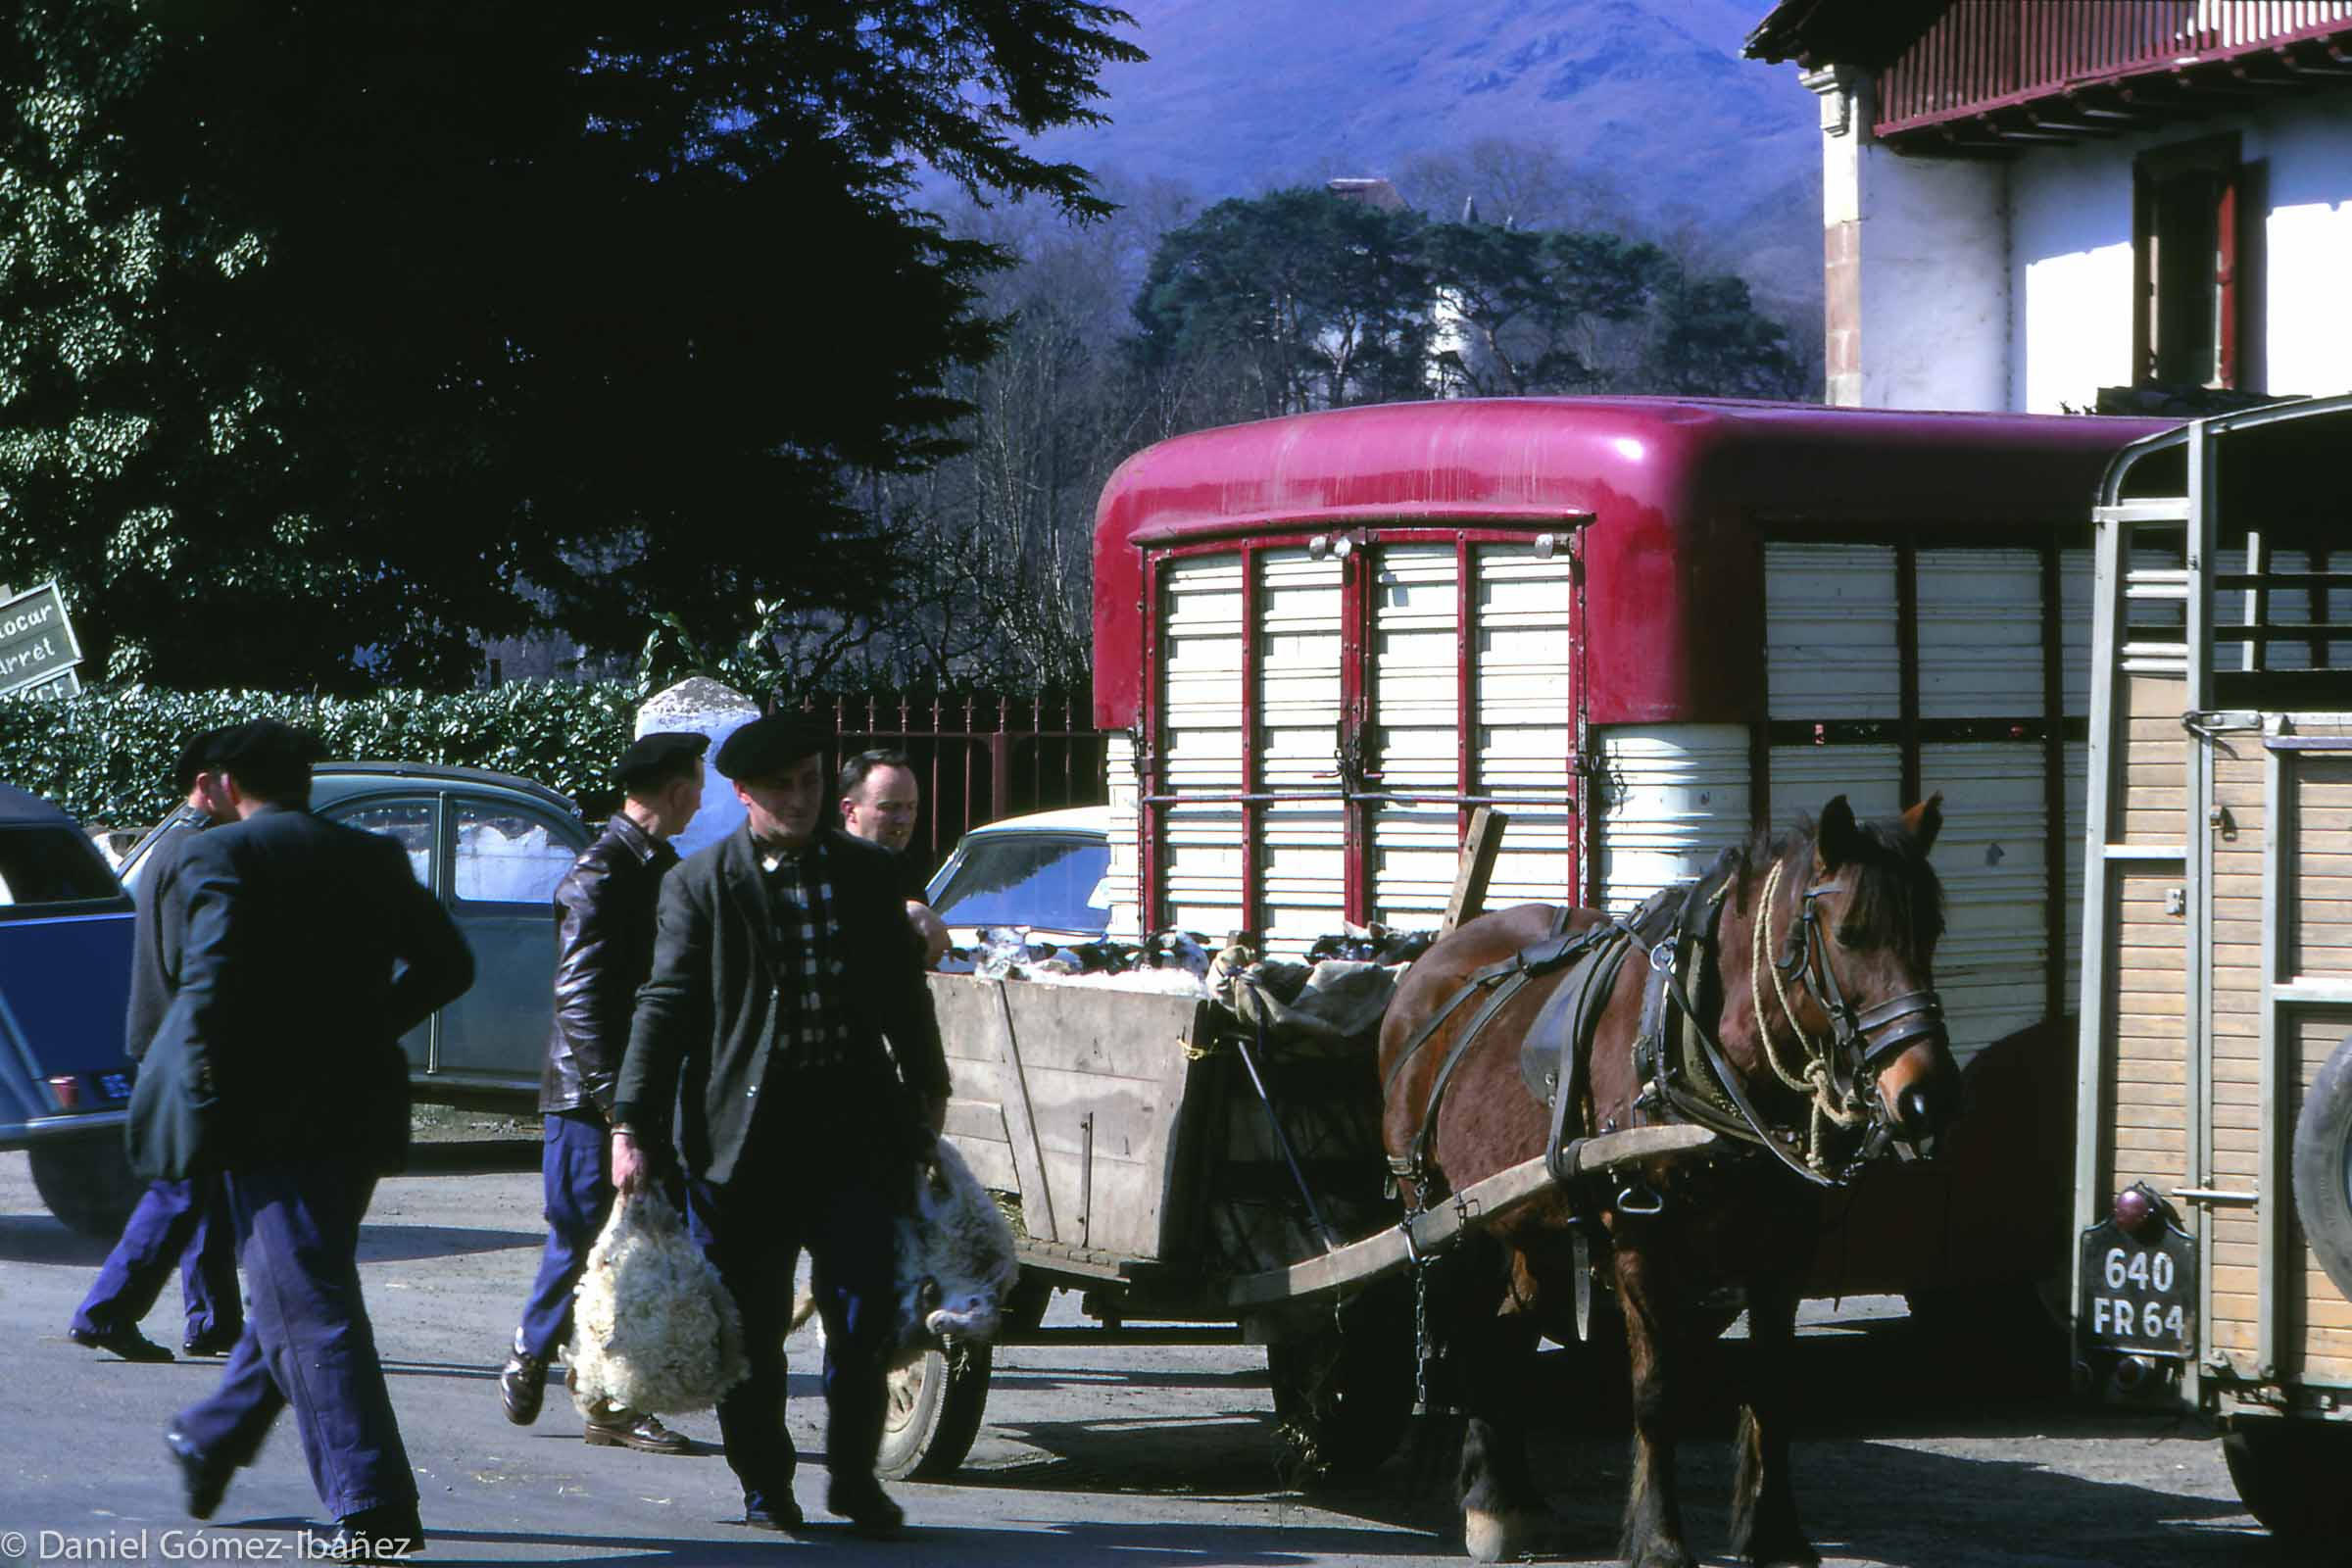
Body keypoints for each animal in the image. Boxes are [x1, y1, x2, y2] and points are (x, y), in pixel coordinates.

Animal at [1383, 799, 1956, 1568]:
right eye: (1849, 935)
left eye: (1931, 931)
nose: (1928, 1097)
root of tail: (1428, 968)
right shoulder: (1640, 1245)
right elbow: (1656, 1394)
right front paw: (1657, 1539)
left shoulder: (1784, 1250)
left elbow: (1773, 1387)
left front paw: (1775, 1534)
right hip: (1441, 1211)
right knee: (1470, 1332)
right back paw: (1488, 1496)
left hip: (1529, 1224)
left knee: (1508, 1328)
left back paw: (1506, 1499)